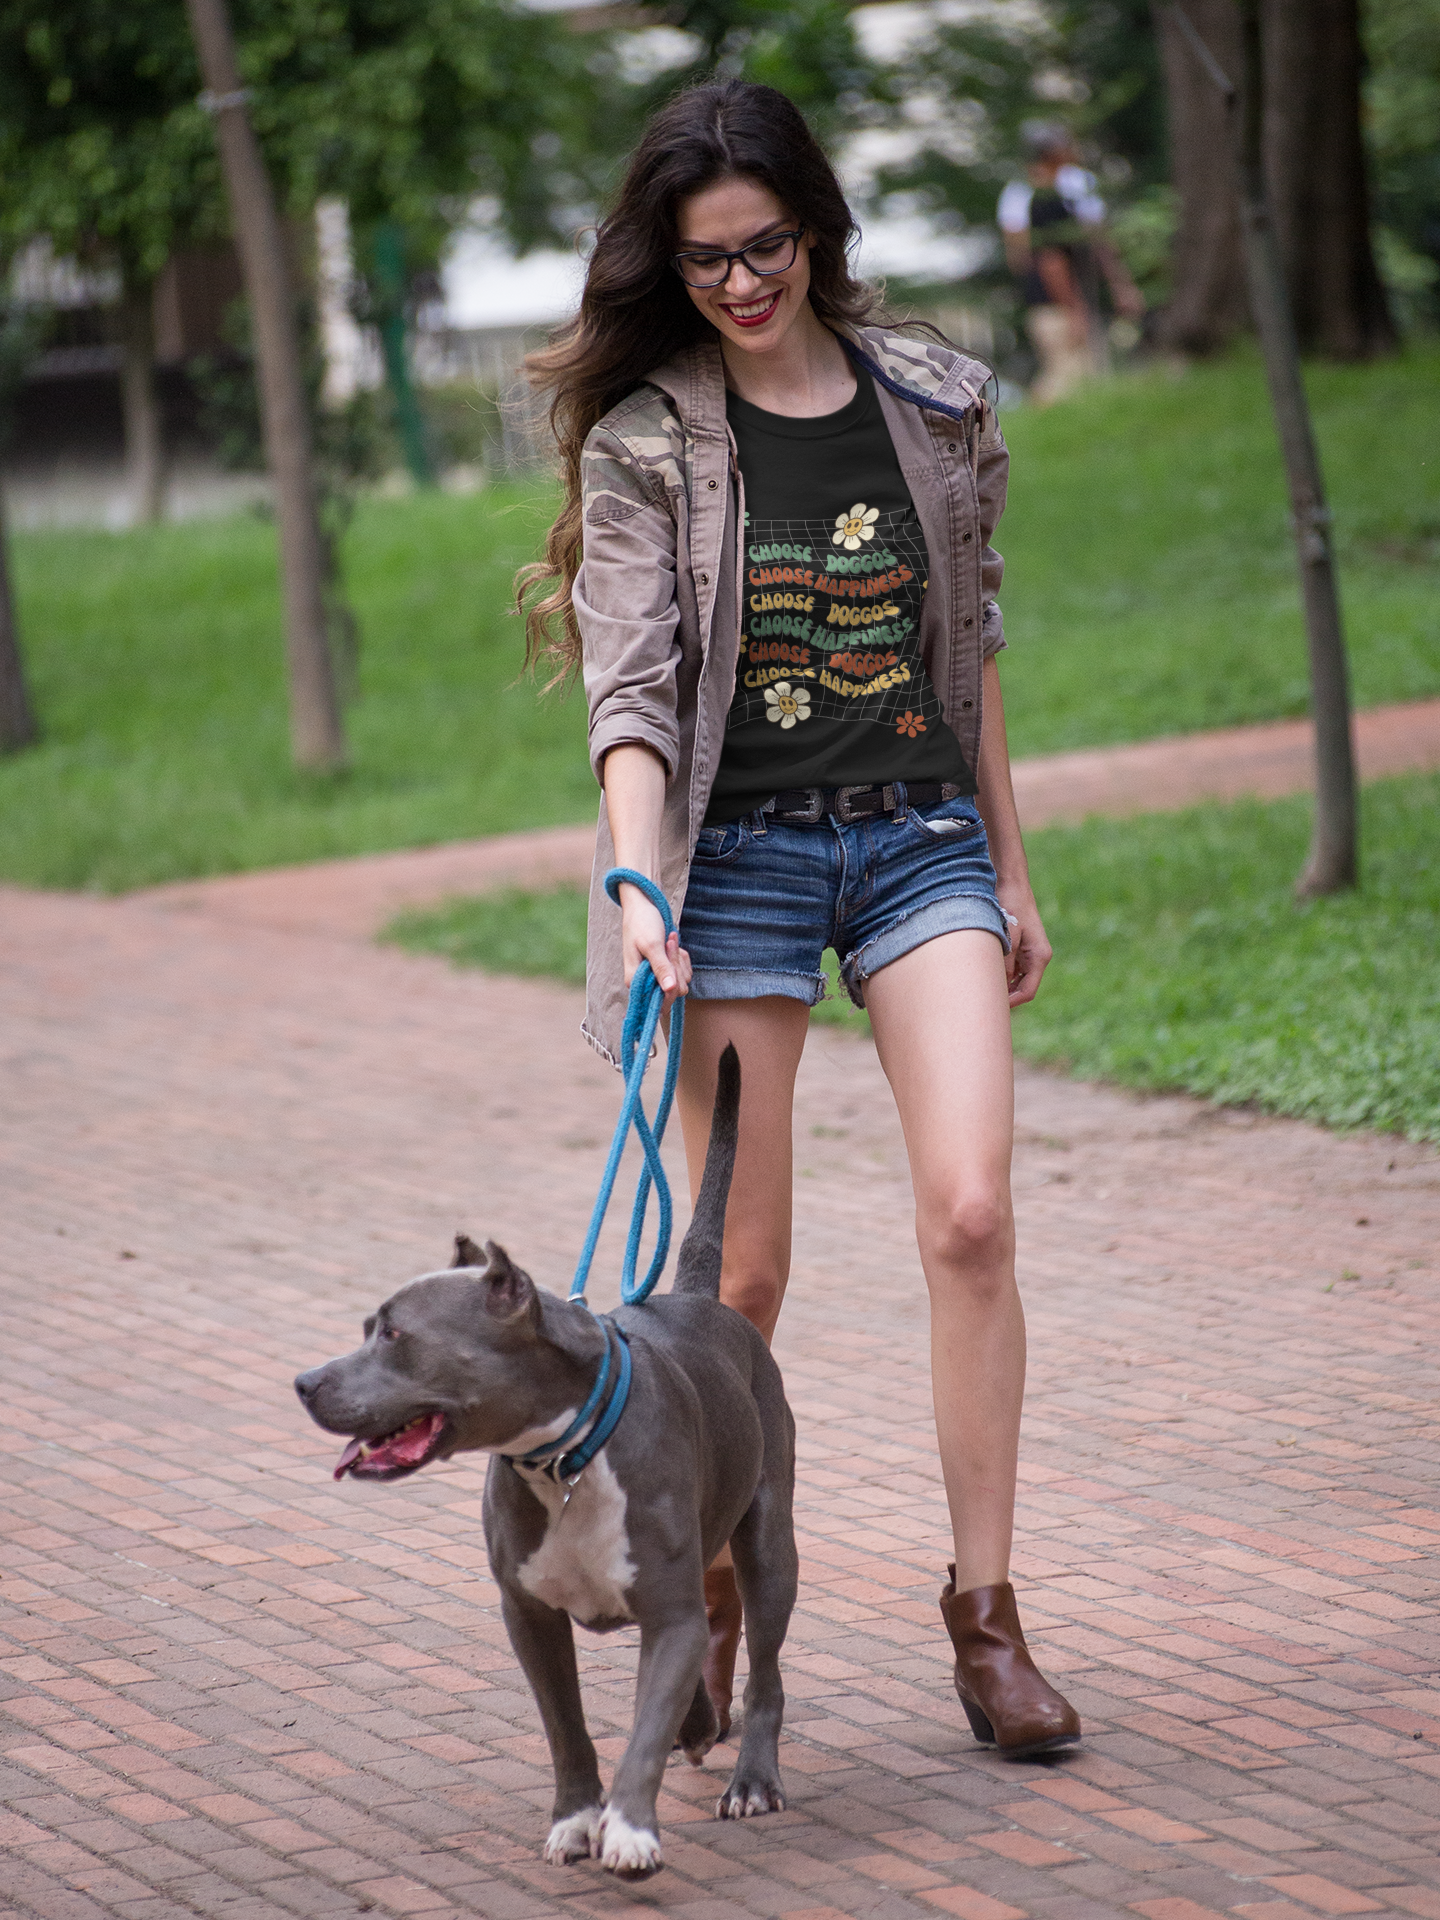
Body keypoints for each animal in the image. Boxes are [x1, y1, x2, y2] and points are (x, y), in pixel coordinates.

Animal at [293, 1052, 802, 1873]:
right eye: (368, 1326)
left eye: (395, 1334)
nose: (306, 1382)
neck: (564, 1459)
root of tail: (699, 1298)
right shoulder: (528, 1613)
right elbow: (567, 1725)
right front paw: (576, 1818)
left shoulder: (668, 1613)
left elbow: (645, 1732)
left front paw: (629, 1828)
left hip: (768, 1543)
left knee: (765, 1671)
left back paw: (754, 1779)